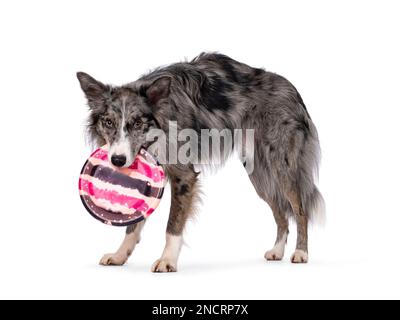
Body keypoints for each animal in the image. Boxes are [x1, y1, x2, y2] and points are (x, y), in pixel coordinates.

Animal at [77, 53, 324, 272]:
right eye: (109, 122)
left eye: (138, 123)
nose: (118, 161)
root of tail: (291, 89)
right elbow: (133, 224)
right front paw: (120, 255)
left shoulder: (184, 176)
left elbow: (173, 224)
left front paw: (167, 260)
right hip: (260, 176)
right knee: (280, 213)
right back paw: (277, 251)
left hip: (282, 168)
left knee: (300, 209)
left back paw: (301, 252)